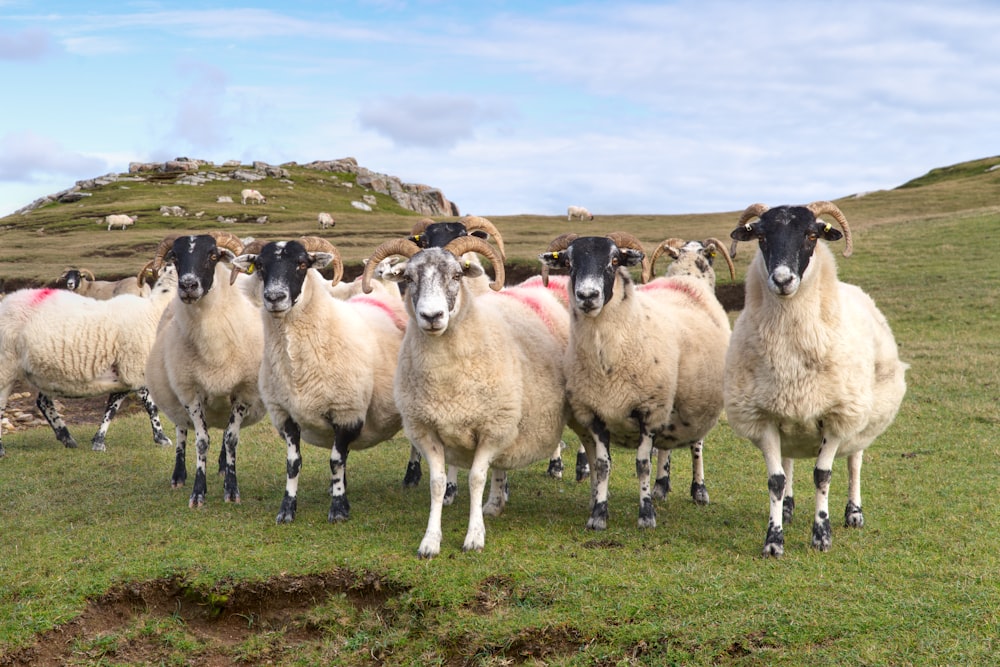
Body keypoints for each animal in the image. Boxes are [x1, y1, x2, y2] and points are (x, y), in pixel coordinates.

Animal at [0, 264, 177, 456]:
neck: (155, 311)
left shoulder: (122, 375)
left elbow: (112, 407)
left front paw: (98, 441)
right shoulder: (135, 369)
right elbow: (150, 405)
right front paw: (162, 438)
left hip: (43, 371)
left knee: (43, 402)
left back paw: (66, 437)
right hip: (6, 364)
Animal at [143, 232, 266, 508]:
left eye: (212, 255)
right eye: (175, 257)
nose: (188, 285)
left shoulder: (243, 393)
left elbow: (231, 439)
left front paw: (231, 488)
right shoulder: (190, 393)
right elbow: (201, 442)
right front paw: (198, 492)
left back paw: (221, 465)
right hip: (176, 396)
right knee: (181, 431)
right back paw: (178, 475)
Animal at [230, 237, 406, 524]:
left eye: (302, 264)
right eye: (261, 266)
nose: (274, 297)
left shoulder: (347, 412)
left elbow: (335, 460)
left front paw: (338, 508)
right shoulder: (285, 414)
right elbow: (293, 464)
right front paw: (287, 509)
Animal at [360, 235, 584, 560]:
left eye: (456, 275)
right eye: (409, 278)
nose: (431, 316)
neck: (446, 383)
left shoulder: (491, 428)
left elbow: (476, 478)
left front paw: (474, 537)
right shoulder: (427, 430)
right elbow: (438, 483)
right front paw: (430, 541)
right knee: (501, 464)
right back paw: (495, 503)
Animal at [724, 201, 912, 556]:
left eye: (812, 235)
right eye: (761, 236)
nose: (782, 280)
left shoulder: (837, 415)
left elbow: (823, 475)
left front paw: (821, 535)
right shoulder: (764, 415)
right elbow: (776, 480)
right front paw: (774, 539)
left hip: (860, 416)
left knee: (854, 461)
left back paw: (854, 513)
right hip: (789, 418)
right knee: (789, 461)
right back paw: (787, 508)